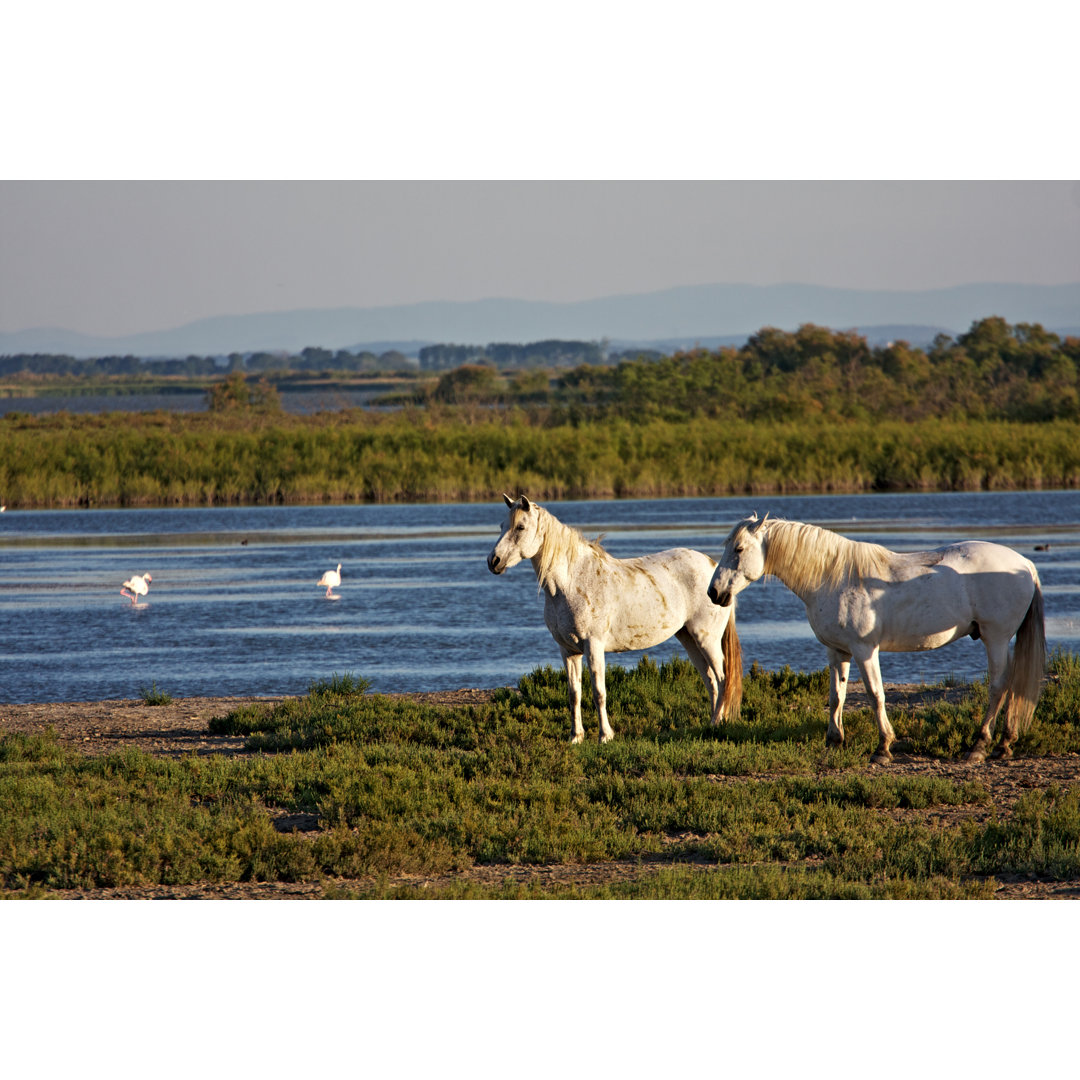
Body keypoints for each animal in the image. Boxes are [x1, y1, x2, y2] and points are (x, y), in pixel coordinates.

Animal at [486, 494, 738, 743]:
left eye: (520, 526)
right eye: (501, 526)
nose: (493, 561)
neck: (572, 583)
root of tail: (714, 571)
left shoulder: (593, 646)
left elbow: (599, 692)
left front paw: (605, 736)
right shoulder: (568, 650)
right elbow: (574, 694)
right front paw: (575, 737)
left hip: (707, 639)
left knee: (723, 678)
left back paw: (719, 723)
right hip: (688, 638)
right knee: (710, 680)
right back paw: (712, 723)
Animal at [708, 511, 1045, 760]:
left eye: (738, 549)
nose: (714, 593)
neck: (834, 577)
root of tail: (1025, 565)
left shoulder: (865, 649)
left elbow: (875, 694)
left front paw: (883, 747)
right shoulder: (838, 651)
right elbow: (837, 695)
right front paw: (834, 740)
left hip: (996, 638)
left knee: (998, 686)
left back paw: (980, 745)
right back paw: (1004, 743)